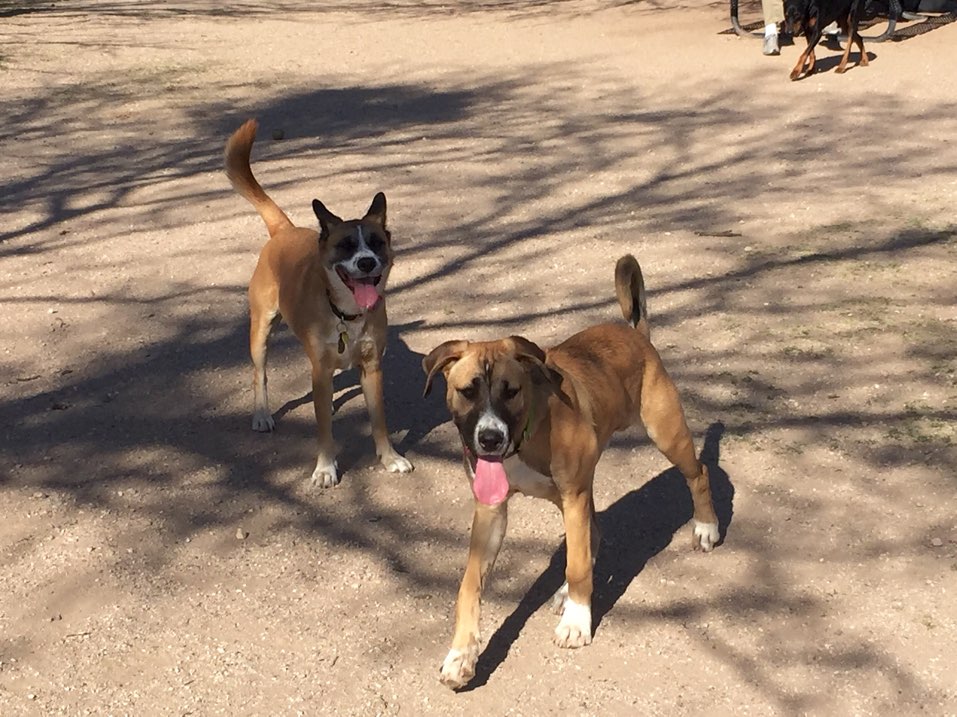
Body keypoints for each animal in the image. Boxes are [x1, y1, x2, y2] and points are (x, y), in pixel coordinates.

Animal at [224, 119, 413, 487]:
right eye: (345, 246)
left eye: (376, 243)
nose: (367, 262)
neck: (346, 316)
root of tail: (285, 230)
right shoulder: (321, 373)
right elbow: (325, 429)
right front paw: (325, 468)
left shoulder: (372, 369)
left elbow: (379, 420)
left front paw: (389, 458)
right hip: (261, 332)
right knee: (259, 375)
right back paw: (261, 414)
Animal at [422, 255, 720, 689]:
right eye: (467, 391)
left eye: (511, 391)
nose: (490, 438)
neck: (525, 435)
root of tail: (637, 334)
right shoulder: (492, 512)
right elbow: (469, 586)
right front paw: (461, 654)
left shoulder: (574, 494)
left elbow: (577, 565)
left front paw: (578, 623)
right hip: (577, 491)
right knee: (593, 532)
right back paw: (564, 592)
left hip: (664, 434)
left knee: (697, 473)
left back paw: (706, 527)